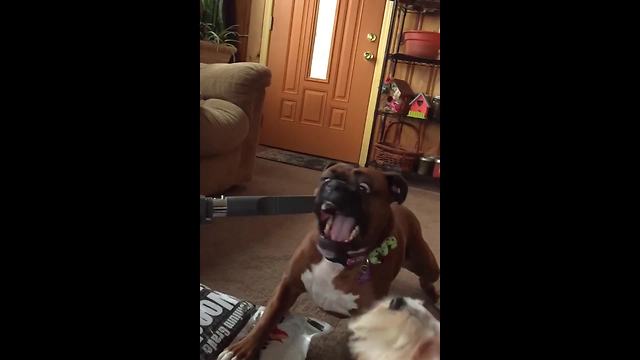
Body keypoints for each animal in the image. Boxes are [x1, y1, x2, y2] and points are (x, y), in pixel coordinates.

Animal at [218, 162, 438, 360]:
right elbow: (268, 317)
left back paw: (433, 297)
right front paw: (244, 347)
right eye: (325, 178)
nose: (334, 185)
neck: (337, 260)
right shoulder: (288, 285)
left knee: (427, 279)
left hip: (426, 264)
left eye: (363, 187)